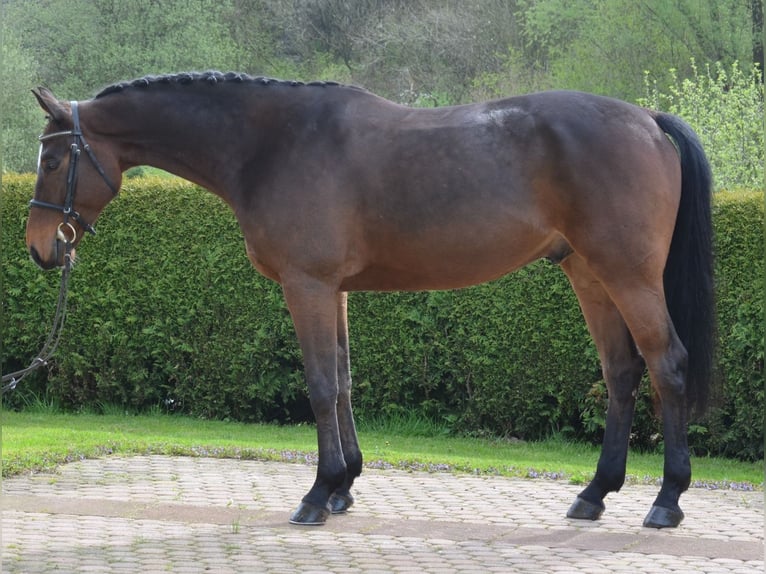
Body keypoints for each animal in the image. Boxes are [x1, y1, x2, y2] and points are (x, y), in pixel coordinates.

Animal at [27, 72, 716, 532]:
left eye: (54, 159)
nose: (39, 247)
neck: (271, 145)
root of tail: (648, 120)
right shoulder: (331, 290)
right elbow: (344, 380)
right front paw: (344, 487)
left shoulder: (306, 285)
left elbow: (319, 385)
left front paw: (317, 492)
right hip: (588, 274)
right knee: (622, 372)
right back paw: (595, 493)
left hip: (628, 276)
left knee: (668, 366)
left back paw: (667, 501)